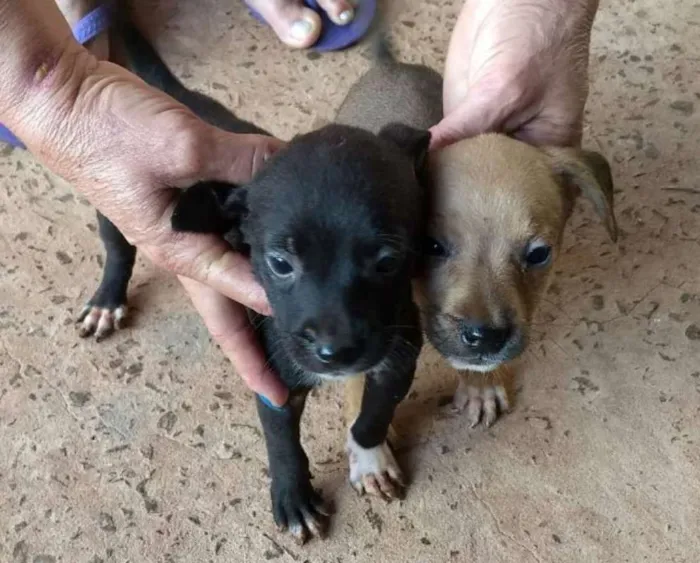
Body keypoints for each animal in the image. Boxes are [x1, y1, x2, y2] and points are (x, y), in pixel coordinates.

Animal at [79, 18, 432, 548]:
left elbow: (375, 415)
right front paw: (294, 497)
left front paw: (369, 456)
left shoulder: (399, 356)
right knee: (119, 249)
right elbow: (282, 442)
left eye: (388, 260)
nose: (335, 353)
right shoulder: (272, 374)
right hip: (115, 203)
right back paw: (107, 300)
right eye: (280, 263)